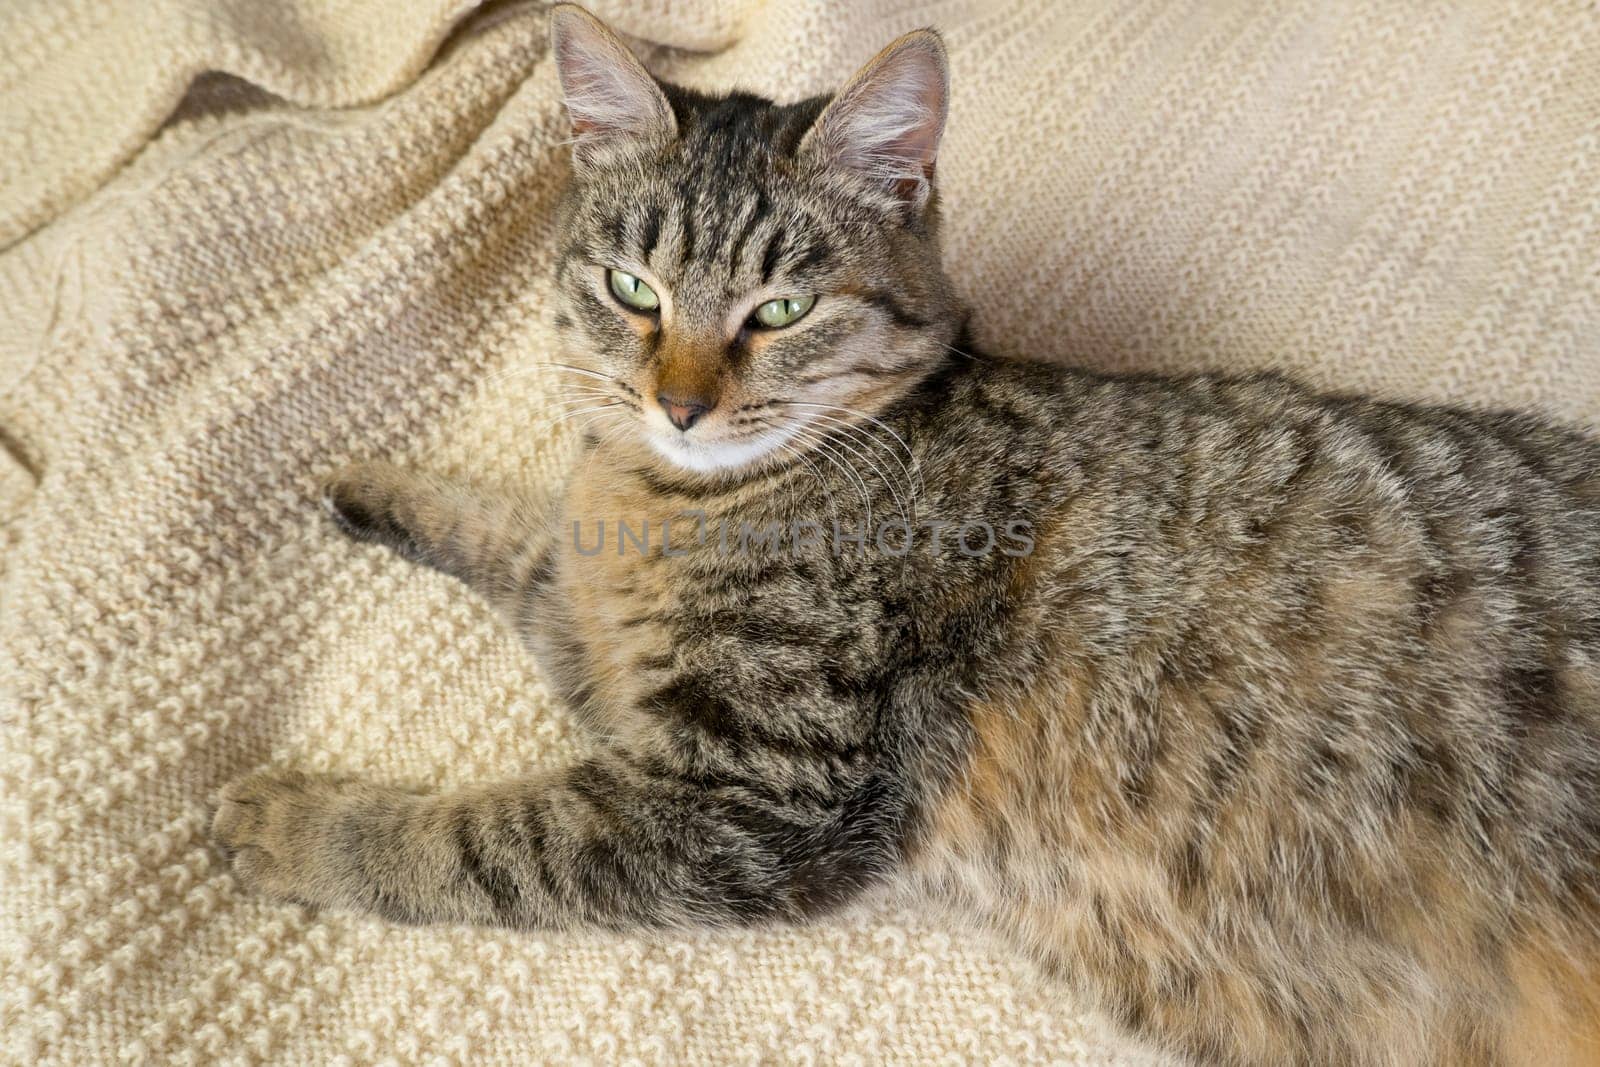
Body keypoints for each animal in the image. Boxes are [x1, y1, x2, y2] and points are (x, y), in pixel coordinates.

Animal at [216, 6, 1600, 1062]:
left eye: (780, 309)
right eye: (632, 290)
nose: (679, 403)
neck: (678, 497)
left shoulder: (755, 789)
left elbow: (479, 839)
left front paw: (294, 823)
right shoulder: (612, 649)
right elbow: (526, 536)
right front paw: (375, 481)